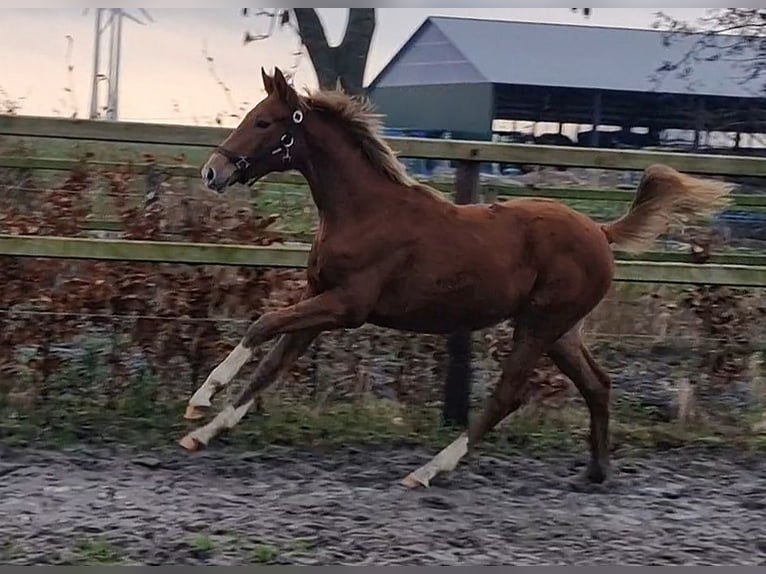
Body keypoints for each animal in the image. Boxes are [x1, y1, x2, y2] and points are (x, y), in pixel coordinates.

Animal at [178, 66, 732, 488]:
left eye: (264, 121)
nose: (212, 173)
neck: (364, 211)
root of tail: (600, 229)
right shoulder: (321, 301)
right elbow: (271, 365)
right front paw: (203, 431)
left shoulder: (347, 306)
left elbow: (261, 327)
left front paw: (200, 399)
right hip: (561, 330)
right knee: (598, 384)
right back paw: (596, 472)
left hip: (539, 325)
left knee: (509, 393)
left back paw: (428, 471)